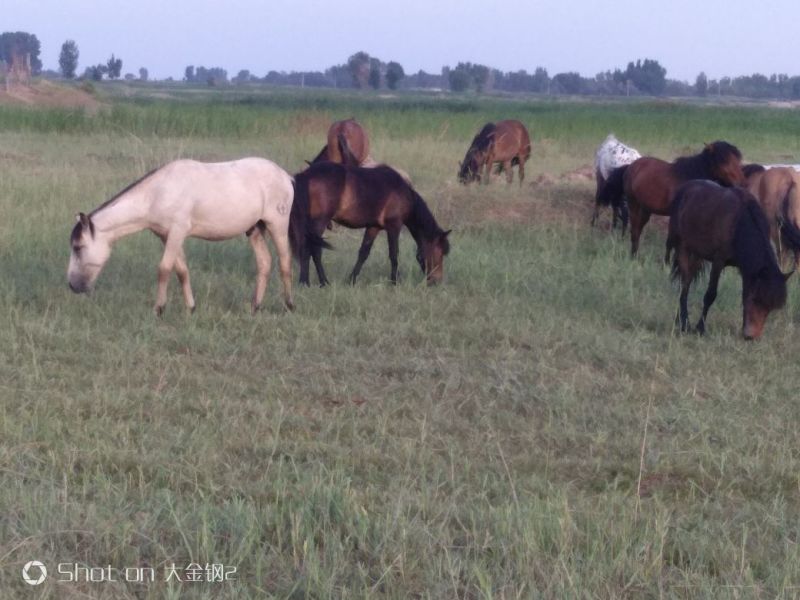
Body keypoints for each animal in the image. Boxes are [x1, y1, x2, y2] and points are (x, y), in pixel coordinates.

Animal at [68, 158, 295, 315]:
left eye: (78, 247)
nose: (72, 285)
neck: (157, 194)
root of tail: (285, 176)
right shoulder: (166, 236)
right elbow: (181, 271)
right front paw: (191, 308)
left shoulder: (177, 232)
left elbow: (164, 269)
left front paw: (158, 309)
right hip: (254, 229)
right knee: (264, 263)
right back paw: (255, 306)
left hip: (277, 225)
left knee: (285, 263)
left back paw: (289, 305)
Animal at [290, 162, 451, 286]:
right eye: (439, 252)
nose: (436, 282)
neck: (404, 193)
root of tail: (305, 175)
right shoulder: (394, 226)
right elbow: (394, 254)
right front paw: (395, 281)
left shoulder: (374, 227)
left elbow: (363, 253)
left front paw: (352, 280)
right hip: (319, 222)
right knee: (314, 250)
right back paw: (317, 282)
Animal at [599, 141, 745, 256]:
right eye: (723, 161)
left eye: (737, 160)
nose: (740, 183)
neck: (688, 179)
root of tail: (630, 166)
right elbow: (671, 241)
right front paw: (667, 265)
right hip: (634, 205)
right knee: (634, 230)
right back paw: (633, 256)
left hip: (645, 210)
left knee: (638, 230)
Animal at [665, 180, 793, 340]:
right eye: (756, 299)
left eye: (770, 308)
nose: (751, 336)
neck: (740, 223)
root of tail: (685, 189)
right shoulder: (718, 261)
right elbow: (710, 295)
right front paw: (700, 328)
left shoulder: (746, 269)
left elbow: (744, 295)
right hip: (683, 248)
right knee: (684, 286)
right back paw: (684, 323)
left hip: (696, 254)